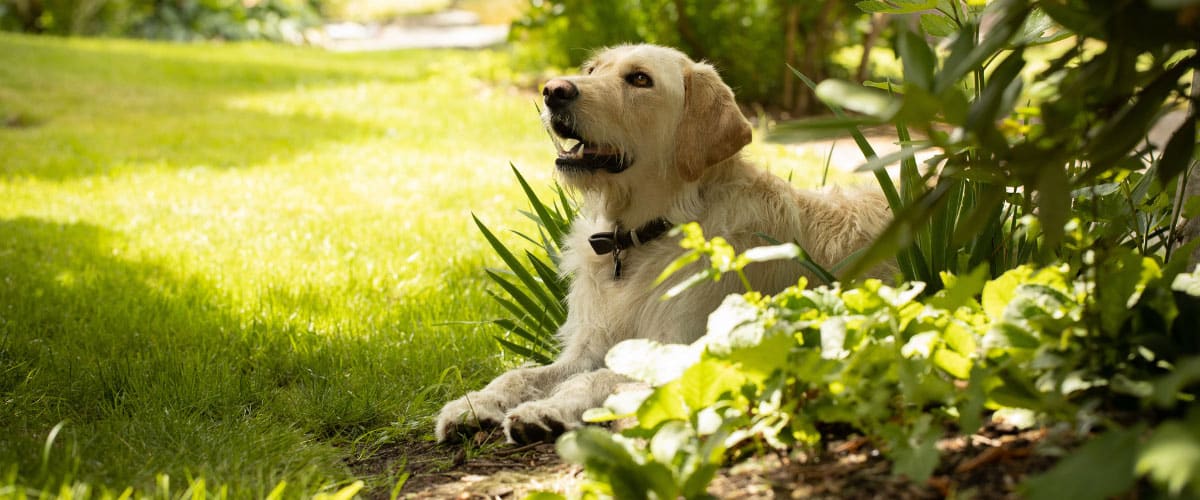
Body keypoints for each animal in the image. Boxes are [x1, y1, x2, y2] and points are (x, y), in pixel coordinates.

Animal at [436, 44, 888, 441]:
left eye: (640, 79)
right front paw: (473, 405)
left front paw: (545, 411)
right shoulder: (588, 346)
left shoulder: (680, 350)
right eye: (592, 70)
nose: (553, 90)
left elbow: (593, 379)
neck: (637, 238)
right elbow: (521, 374)